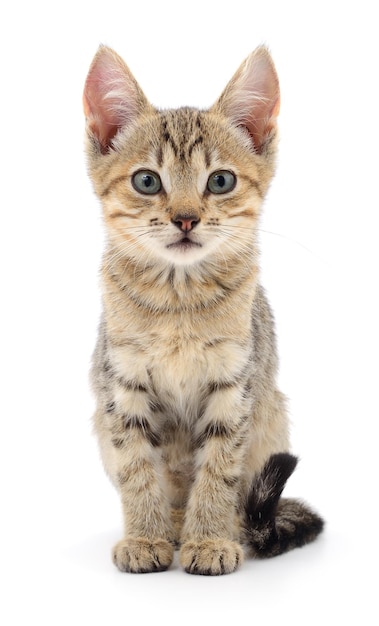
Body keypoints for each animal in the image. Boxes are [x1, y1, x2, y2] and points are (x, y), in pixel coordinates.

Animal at [83, 44, 324, 572]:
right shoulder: (121, 386)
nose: (186, 218)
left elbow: (218, 469)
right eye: (147, 181)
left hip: (271, 413)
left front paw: (210, 538)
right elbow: (137, 467)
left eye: (220, 181)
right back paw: (172, 526)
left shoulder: (235, 385)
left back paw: (222, 529)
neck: (179, 299)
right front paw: (146, 536)